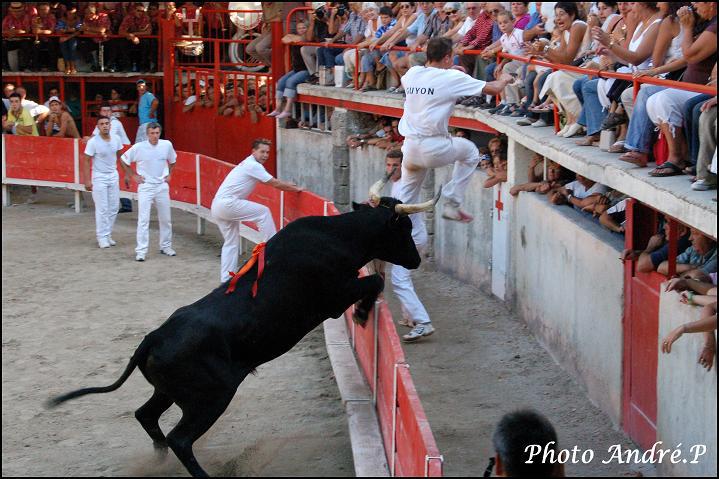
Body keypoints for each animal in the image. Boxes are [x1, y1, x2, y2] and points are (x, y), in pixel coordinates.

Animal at [46, 197, 422, 478]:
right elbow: (373, 281)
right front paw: (361, 314)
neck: (339, 236)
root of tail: (152, 338)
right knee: (180, 438)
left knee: (146, 416)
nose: (417, 259)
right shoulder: (337, 294)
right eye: (405, 229)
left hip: (171, 391)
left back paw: (159, 459)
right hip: (213, 396)